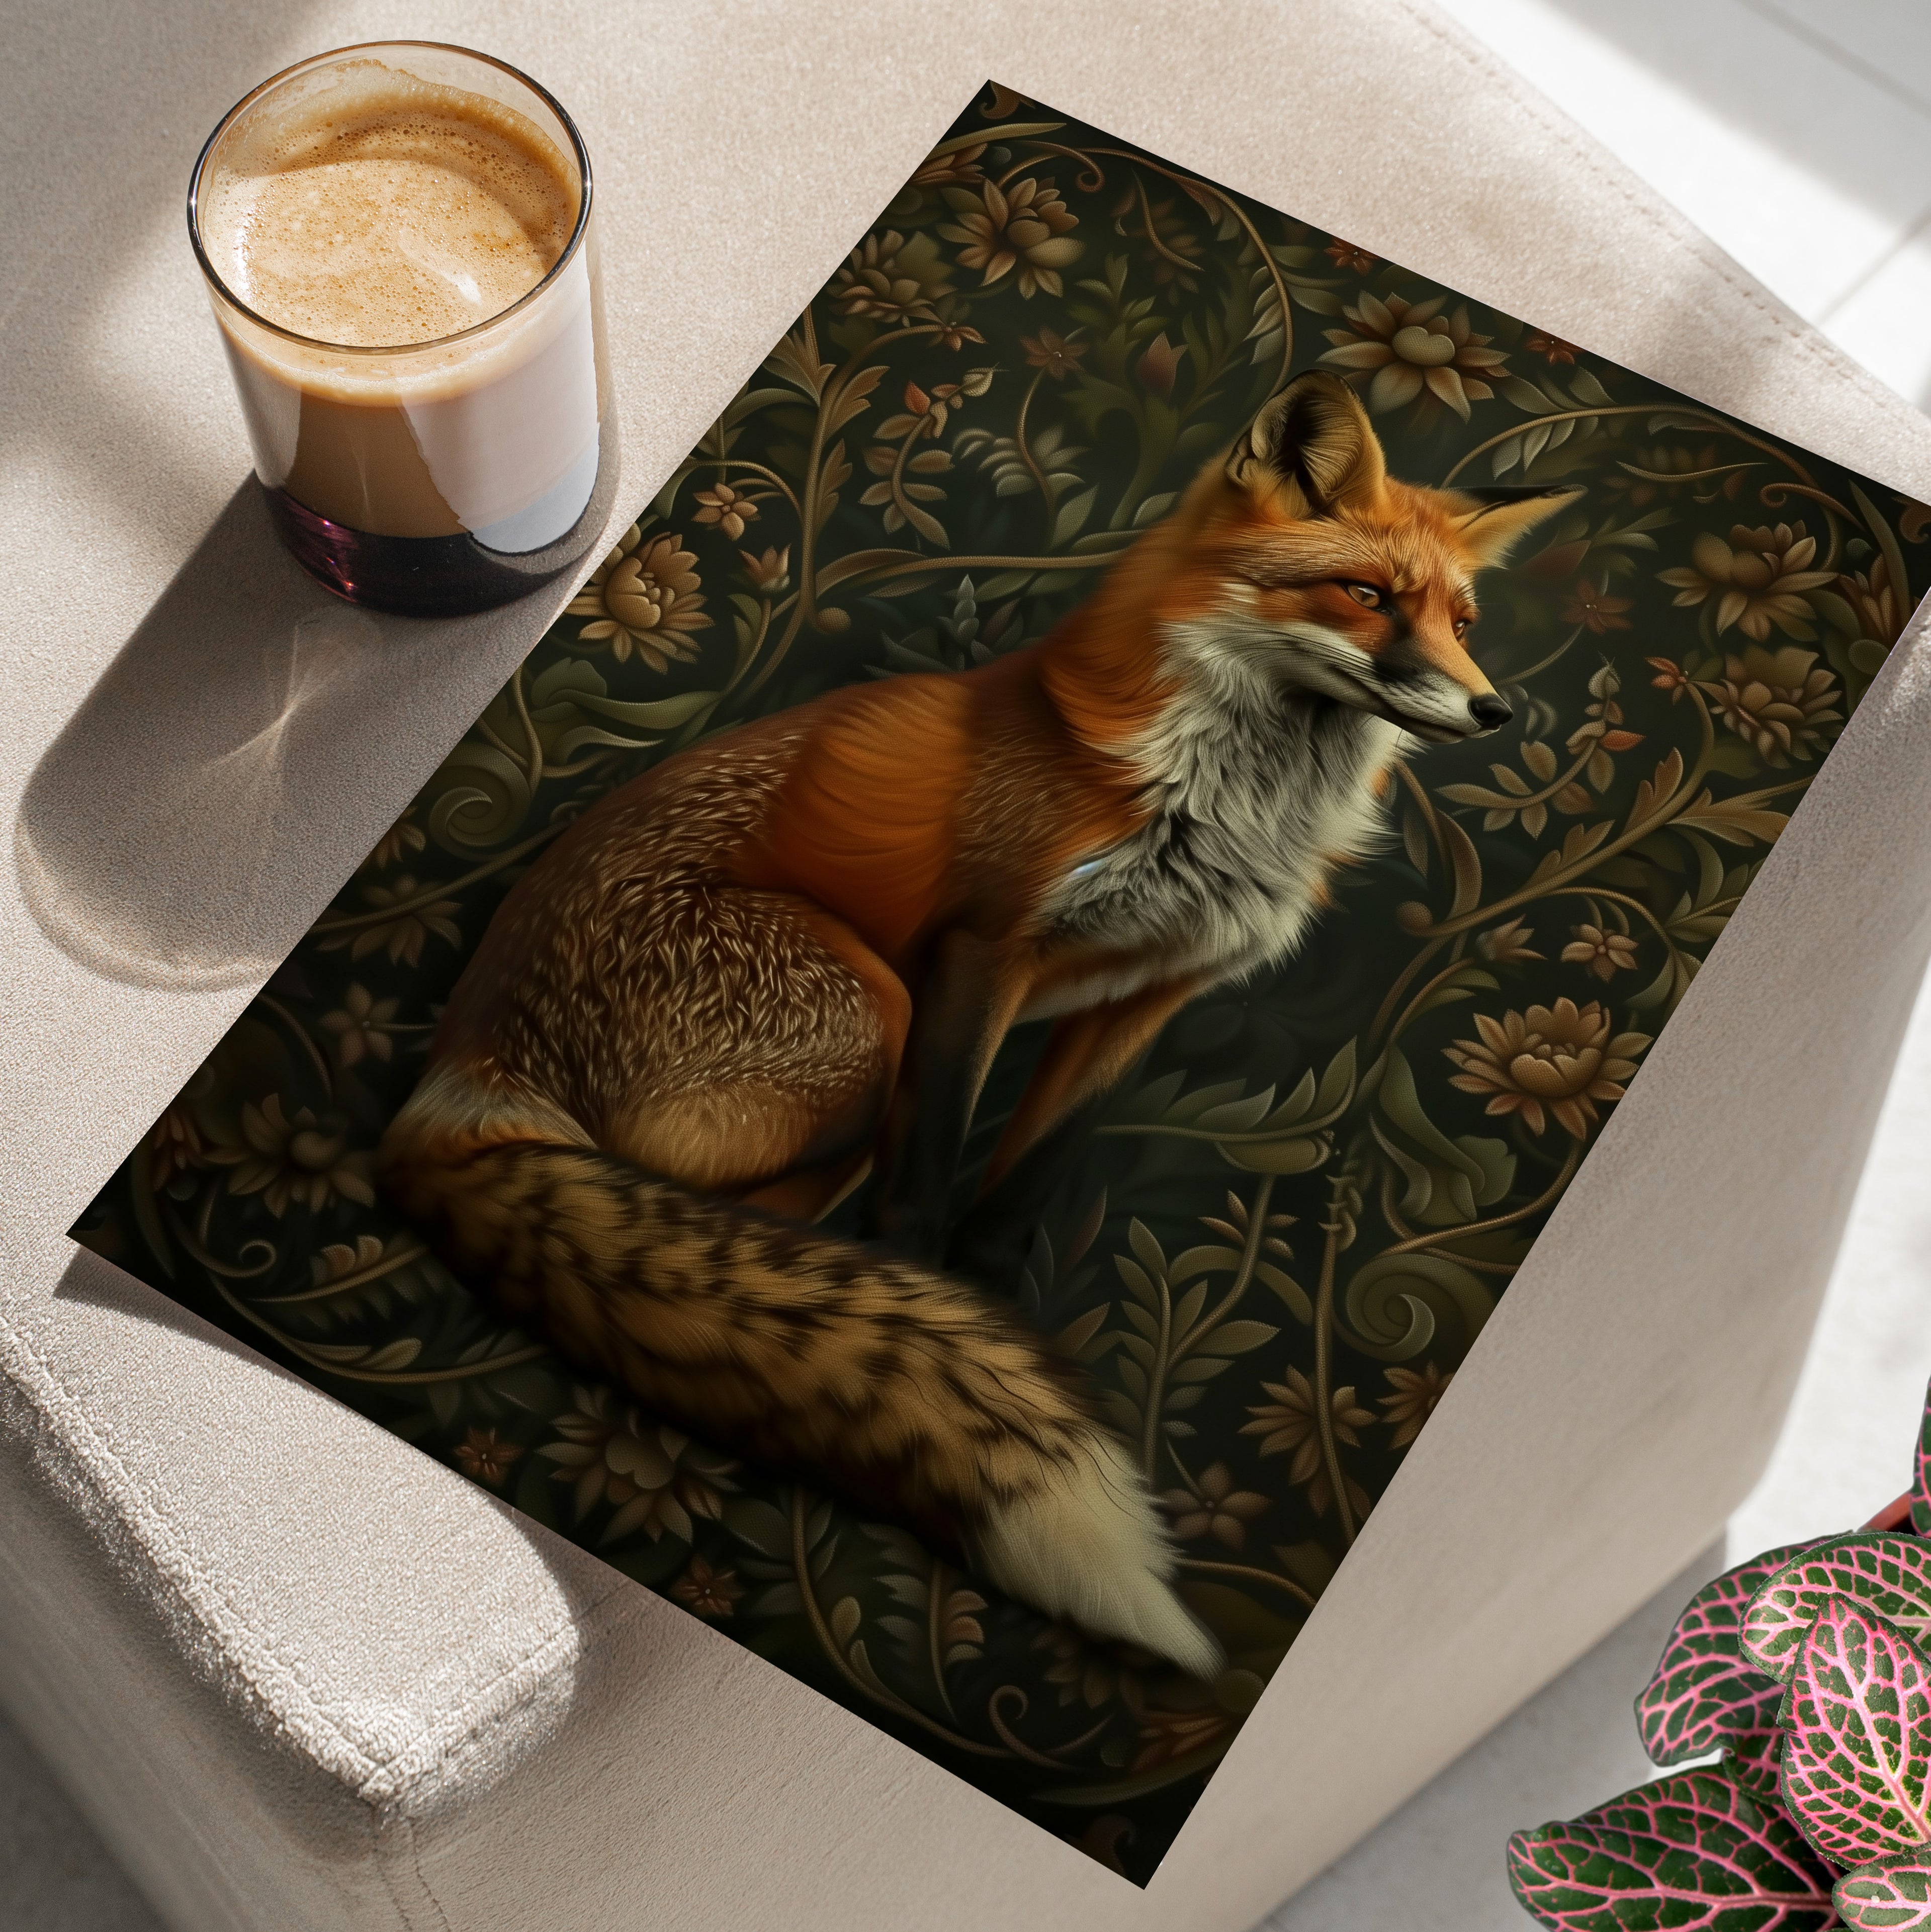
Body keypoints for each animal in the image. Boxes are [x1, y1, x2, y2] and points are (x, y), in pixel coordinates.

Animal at [378, 370, 1575, 1679]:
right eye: (1365, 596)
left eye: (1462, 617)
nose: (1494, 708)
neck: (1224, 805)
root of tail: (466, 1061)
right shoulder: (982, 954)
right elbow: (931, 1179)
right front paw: (921, 1304)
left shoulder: (1150, 994)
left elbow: (1022, 1184)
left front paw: (992, 1310)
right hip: (872, 1014)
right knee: (699, 1206)